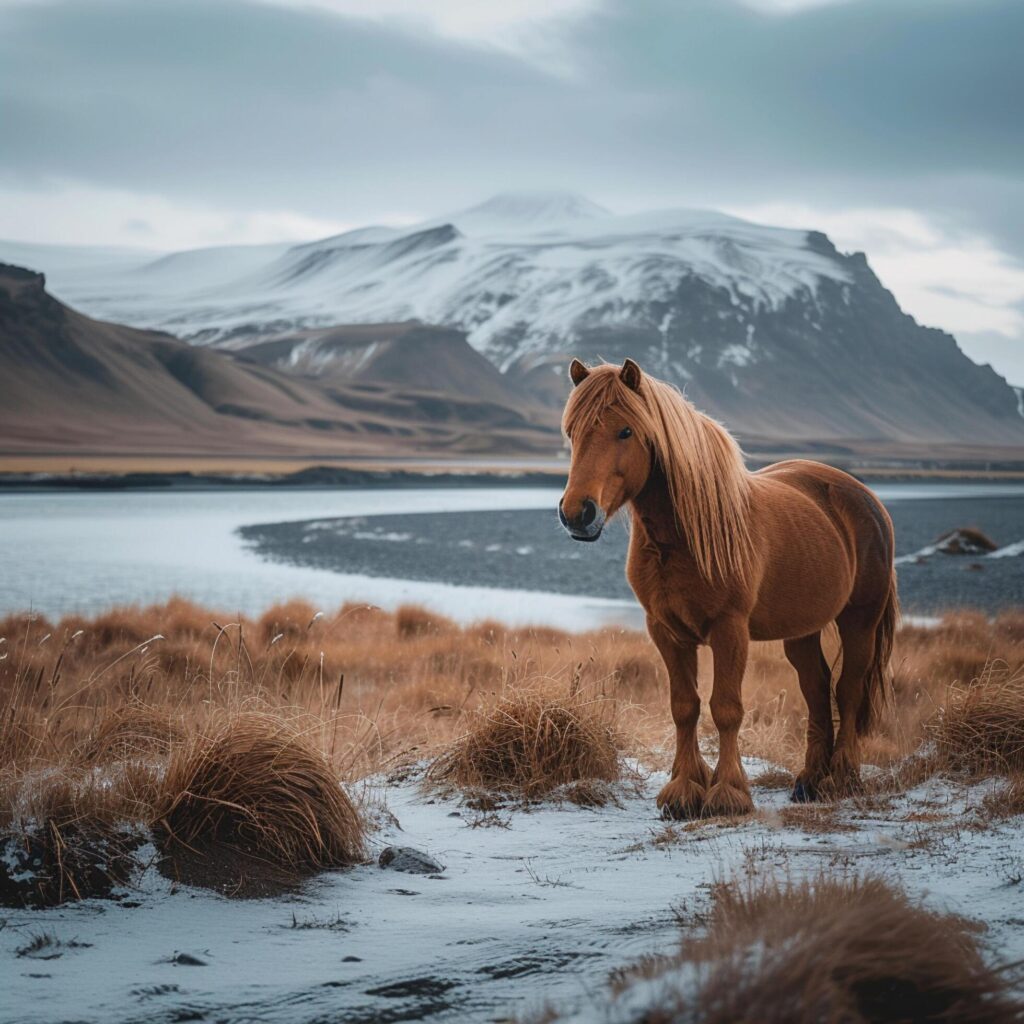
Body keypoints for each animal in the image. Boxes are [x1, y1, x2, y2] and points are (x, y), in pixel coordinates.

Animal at [561, 356, 897, 819]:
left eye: (625, 431)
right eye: (572, 432)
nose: (577, 513)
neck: (680, 539)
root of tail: (865, 496)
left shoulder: (730, 629)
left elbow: (726, 708)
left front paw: (727, 793)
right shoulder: (664, 631)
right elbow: (684, 707)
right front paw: (684, 791)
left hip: (859, 621)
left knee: (848, 689)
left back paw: (841, 779)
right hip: (802, 630)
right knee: (816, 687)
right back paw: (809, 780)